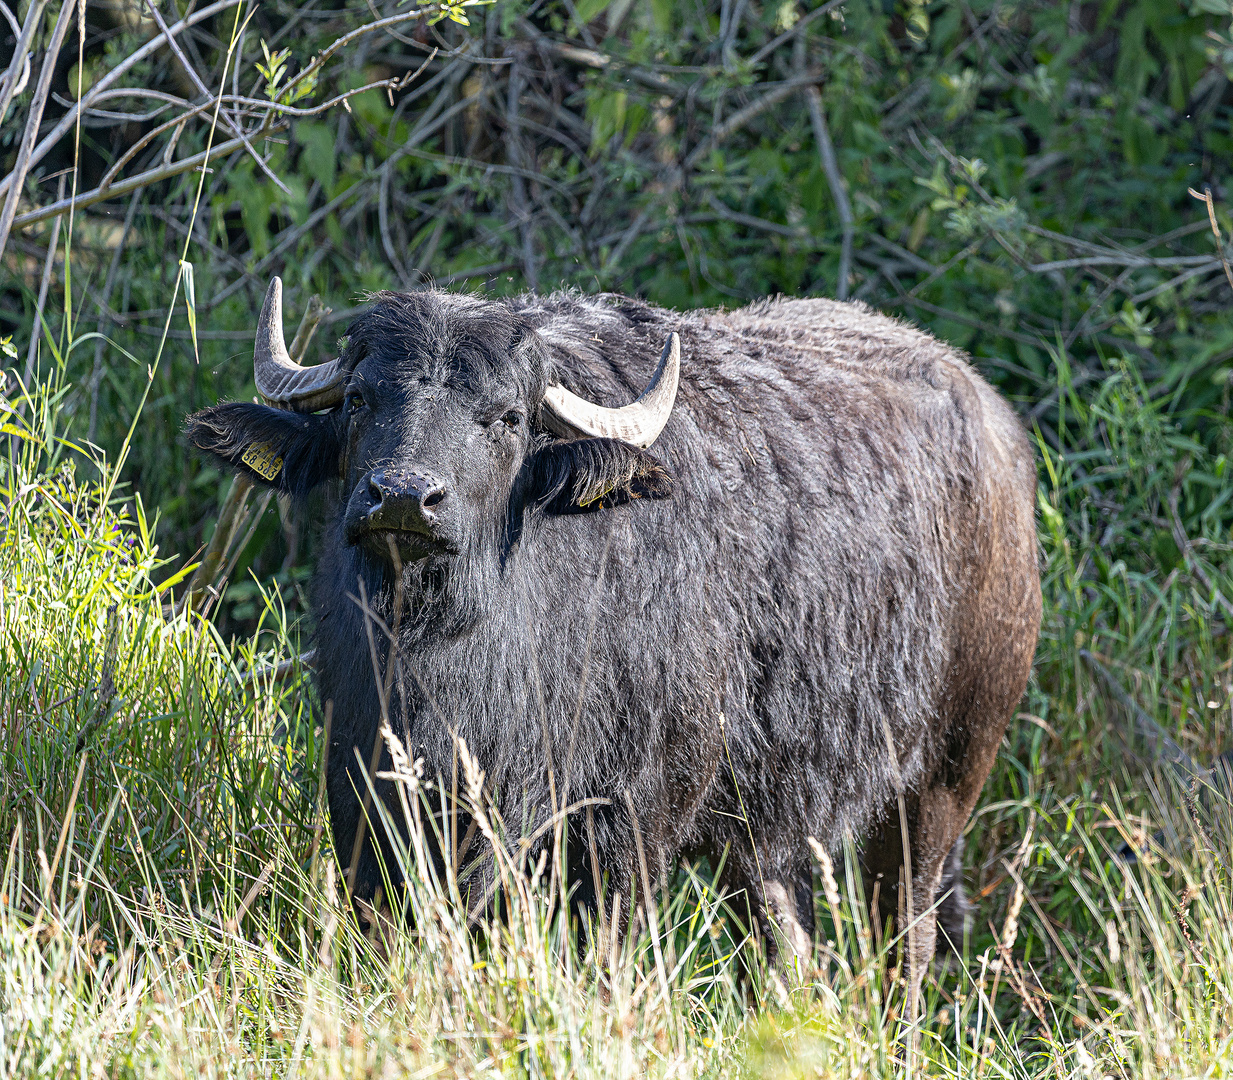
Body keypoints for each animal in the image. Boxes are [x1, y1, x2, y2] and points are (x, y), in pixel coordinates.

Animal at [187, 278, 1040, 996]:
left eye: (505, 417)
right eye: (362, 400)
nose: (403, 497)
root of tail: (995, 430)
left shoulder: (631, 820)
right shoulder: (367, 799)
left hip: (945, 774)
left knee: (906, 937)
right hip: (764, 829)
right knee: (784, 945)